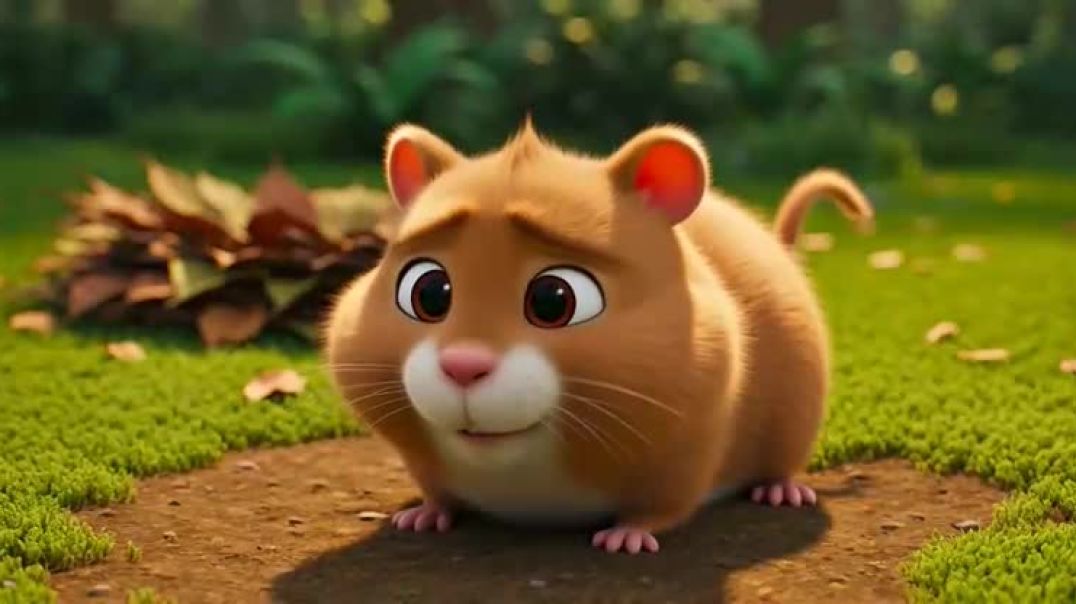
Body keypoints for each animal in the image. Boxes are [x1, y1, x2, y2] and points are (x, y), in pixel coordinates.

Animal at [324, 119, 873, 554]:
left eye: (554, 299)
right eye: (428, 293)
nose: (463, 366)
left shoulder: (691, 447)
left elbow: (663, 506)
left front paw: (627, 536)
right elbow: (436, 490)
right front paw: (424, 513)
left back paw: (781, 491)